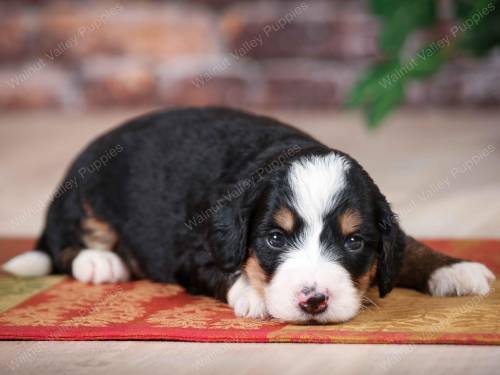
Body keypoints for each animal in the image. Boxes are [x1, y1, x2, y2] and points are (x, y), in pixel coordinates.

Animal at [2, 107, 496, 324]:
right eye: (275, 239)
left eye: (354, 242)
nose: (314, 301)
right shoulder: (194, 247)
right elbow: (227, 271)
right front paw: (255, 295)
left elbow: (408, 246)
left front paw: (454, 268)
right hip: (83, 191)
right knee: (65, 243)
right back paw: (101, 262)